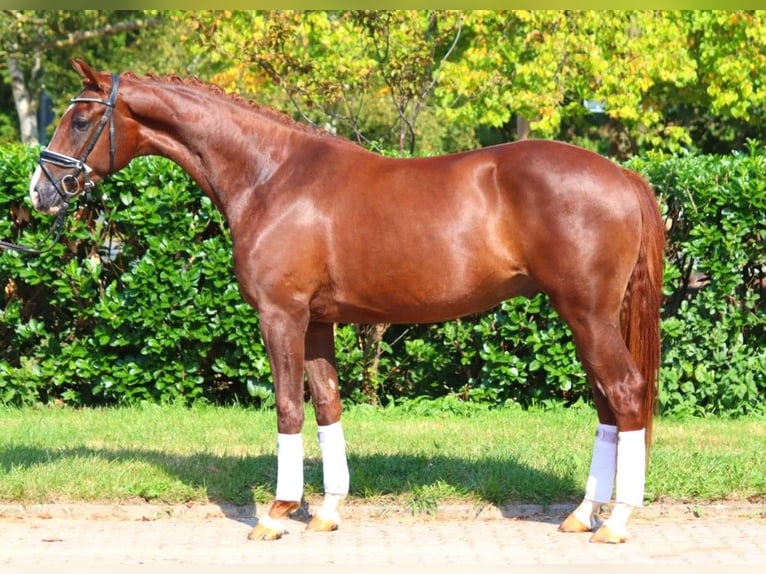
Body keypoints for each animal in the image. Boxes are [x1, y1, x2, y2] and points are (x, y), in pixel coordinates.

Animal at [30, 60, 664, 548]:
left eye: (81, 118)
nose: (41, 192)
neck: (271, 176)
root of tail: (624, 176)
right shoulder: (317, 323)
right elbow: (328, 404)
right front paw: (328, 512)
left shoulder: (281, 316)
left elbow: (289, 408)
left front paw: (276, 514)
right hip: (586, 319)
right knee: (608, 406)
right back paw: (582, 515)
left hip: (587, 316)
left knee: (626, 393)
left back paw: (617, 522)